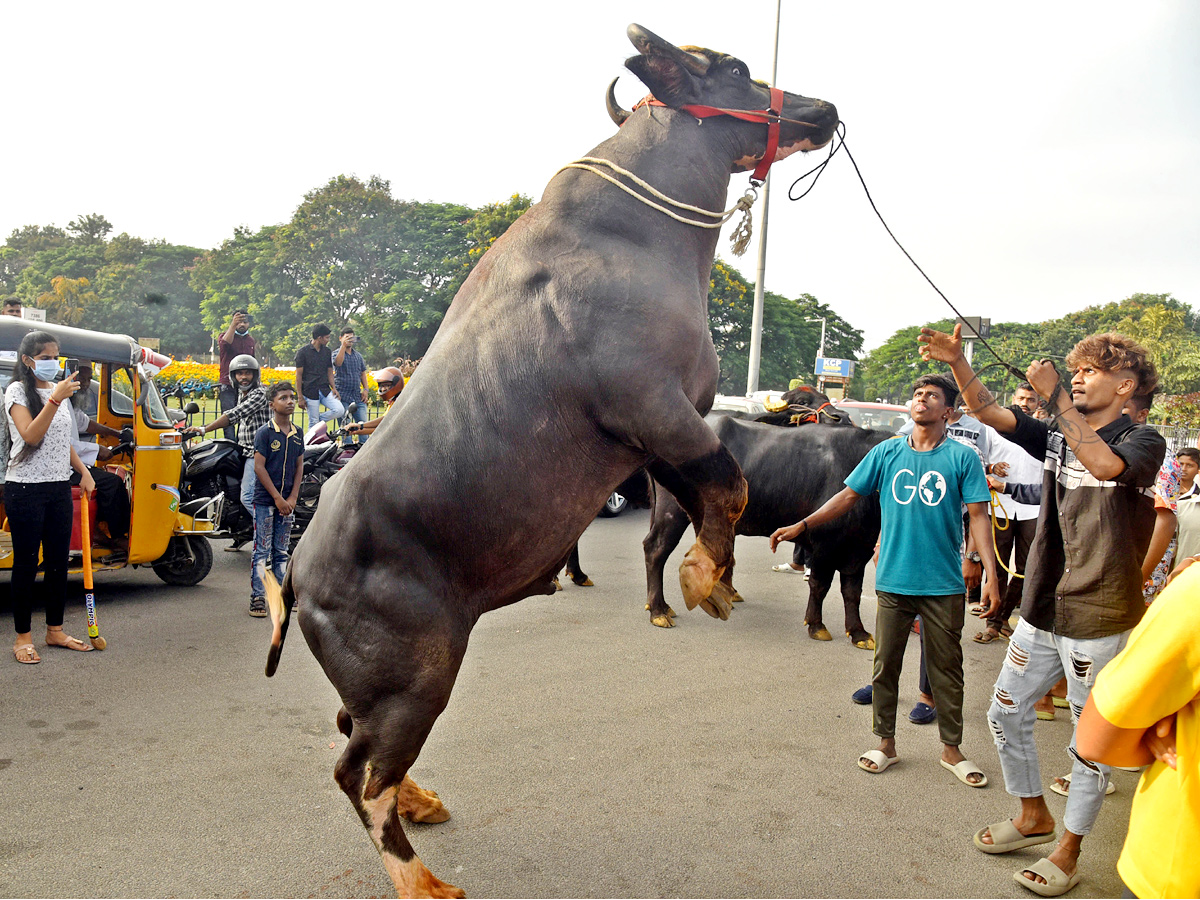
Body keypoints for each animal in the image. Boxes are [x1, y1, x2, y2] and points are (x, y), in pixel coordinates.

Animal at [268, 22, 840, 900]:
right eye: (739, 69)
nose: (824, 109)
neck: (643, 232)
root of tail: (299, 567)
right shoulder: (654, 405)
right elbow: (729, 484)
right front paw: (701, 580)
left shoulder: (659, 438)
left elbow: (711, 493)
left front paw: (709, 578)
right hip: (416, 675)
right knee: (357, 775)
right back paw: (420, 877)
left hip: (382, 685)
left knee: (352, 739)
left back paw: (422, 800)